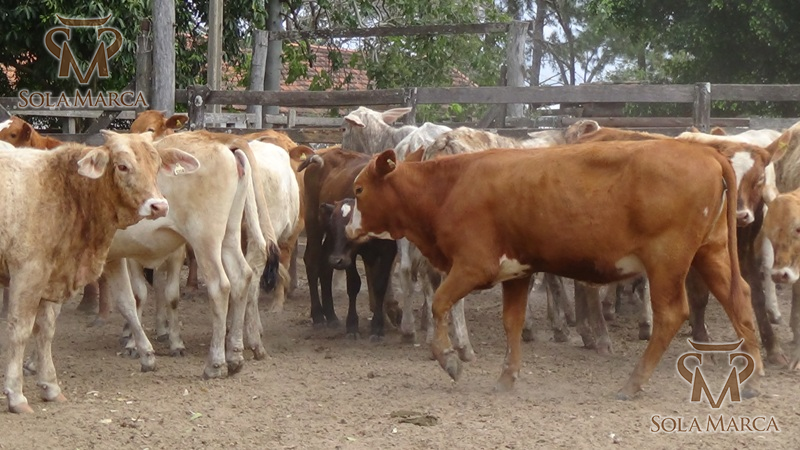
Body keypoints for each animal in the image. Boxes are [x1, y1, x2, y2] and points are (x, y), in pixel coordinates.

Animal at [0, 131, 198, 413]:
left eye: (157, 164)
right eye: (122, 166)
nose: (159, 206)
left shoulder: (53, 277)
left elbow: (46, 329)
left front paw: (50, 386)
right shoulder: (28, 275)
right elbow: (20, 331)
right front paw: (16, 396)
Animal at [299, 146, 400, 338]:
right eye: (334, 223)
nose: (337, 260)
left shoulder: (388, 250)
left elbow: (380, 284)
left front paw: (378, 326)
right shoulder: (350, 255)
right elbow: (353, 284)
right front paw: (352, 325)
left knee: (325, 266)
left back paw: (331, 315)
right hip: (314, 224)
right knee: (312, 261)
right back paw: (318, 316)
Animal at [345, 140, 764, 399]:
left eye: (359, 190)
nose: (348, 228)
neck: (449, 188)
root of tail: (706, 154)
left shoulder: (472, 267)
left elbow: (440, 304)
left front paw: (449, 360)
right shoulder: (517, 272)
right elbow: (512, 323)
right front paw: (507, 377)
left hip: (667, 262)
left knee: (671, 315)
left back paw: (633, 383)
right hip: (712, 253)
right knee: (740, 299)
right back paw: (753, 376)